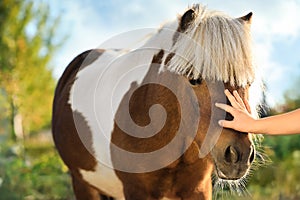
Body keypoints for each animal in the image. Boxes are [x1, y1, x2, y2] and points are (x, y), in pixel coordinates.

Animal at [51, 4, 258, 200]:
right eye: (193, 78)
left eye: (248, 82)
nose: (238, 155)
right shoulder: (137, 191)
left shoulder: (198, 189)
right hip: (84, 185)